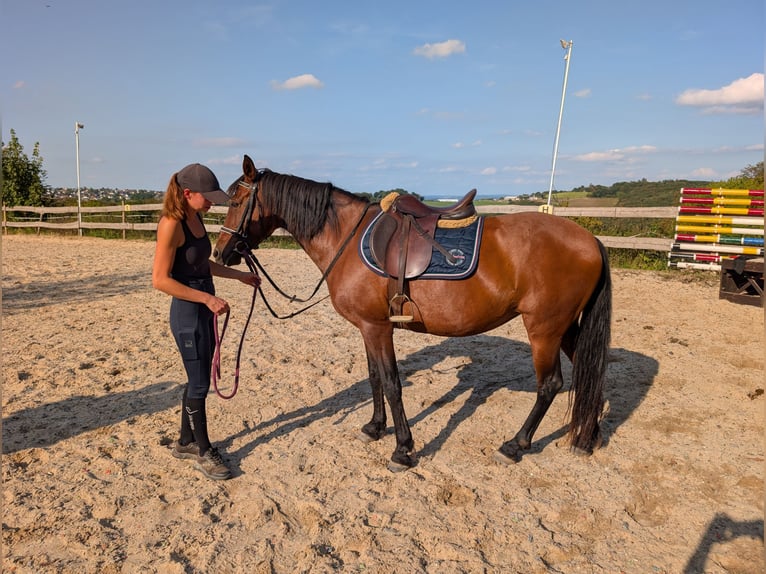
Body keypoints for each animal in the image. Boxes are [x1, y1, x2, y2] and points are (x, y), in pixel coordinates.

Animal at [214, 155, 612, 471]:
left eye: (237, 200)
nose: (220, 253)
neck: (346, 239)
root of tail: (590, 240)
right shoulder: (368, 327)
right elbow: (375, 377)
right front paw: (374, 428)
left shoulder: (377, 328)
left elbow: (392, 383)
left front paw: (402, 450)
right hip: (566, 328)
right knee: (590, 372)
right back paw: (587, 437)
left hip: (544, 329)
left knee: (551, 384)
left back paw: (515, 445)